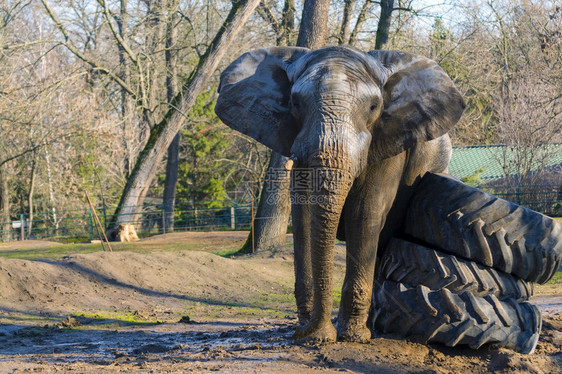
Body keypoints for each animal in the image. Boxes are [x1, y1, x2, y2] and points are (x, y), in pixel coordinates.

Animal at [212, 45, 462, 344]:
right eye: (295, 103)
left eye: (374, 107)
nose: (306, 332)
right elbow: (303, 216)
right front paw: (316, 334)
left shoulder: (391, 140)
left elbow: (365, 213)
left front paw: (353, 337)